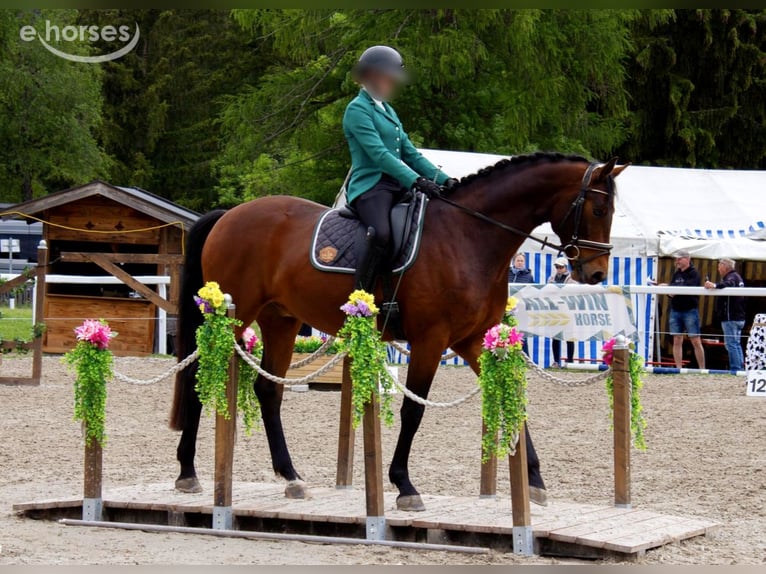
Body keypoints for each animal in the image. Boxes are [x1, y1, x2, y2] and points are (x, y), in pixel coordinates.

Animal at [170, 152, 627, 511]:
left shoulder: (473, 340)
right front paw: (404, 485)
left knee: (269, 391)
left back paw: (291, 477)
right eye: (598, 210)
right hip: (232, 316)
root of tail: (229, 214)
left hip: (280, 320)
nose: (596, 273)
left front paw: (534, 481)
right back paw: (188, 472)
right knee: (196, 379)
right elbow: (414, 409)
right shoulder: (430, 339)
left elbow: (511, 400)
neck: (470, 235)